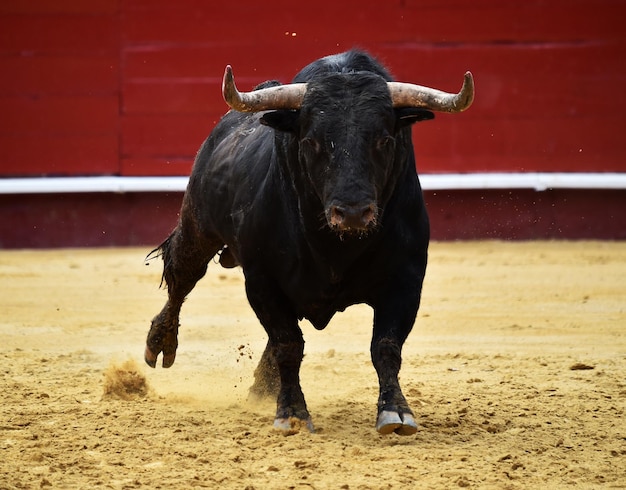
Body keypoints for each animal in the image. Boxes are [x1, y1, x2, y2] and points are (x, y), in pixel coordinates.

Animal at [144, 49, 470, 434]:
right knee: (182, 278)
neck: (335, 246)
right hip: (198, 227)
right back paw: (159, 344)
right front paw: (292, 413)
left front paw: (396, 412)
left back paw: (261, 385)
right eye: (312, 142)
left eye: (384, 141)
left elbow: (386, 345)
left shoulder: (406, 279)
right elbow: (288, 344)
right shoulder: (262, 280)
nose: (353, 212)